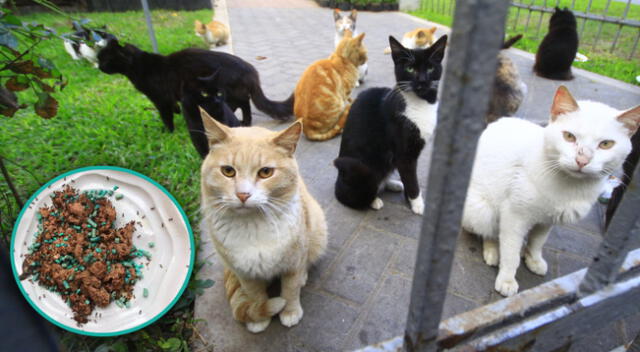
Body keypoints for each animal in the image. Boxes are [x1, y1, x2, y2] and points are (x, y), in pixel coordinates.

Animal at [96, 40, 292, 150]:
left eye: (105, 59)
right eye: (100, 59)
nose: (99, 67)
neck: (139, 67)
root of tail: (250, 70)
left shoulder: (160, 99)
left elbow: (166, 117)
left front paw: (168, 132)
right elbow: (174, 109)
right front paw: (177, 113)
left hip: (228, 94)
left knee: (239, 104)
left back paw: (243, 122)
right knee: (245, 103)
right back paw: (245, 121)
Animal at [200, 109, 328, 332]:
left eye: (266, 172)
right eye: (228, 171)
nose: (243, 195)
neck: (252, 226)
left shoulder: (293, 264)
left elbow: (290, 290)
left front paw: (290, 312)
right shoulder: (245, 274)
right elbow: (256, 296)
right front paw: (259, 319)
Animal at [332, 34, 448, 214]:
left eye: (430, 68)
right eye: (410, 69)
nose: (422, 80)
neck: (421, 103)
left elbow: (409, 177)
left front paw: (410, 199)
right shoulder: (404, 152)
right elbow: (411, 179)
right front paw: (417, 204)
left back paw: (393, 184)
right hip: (360, 168)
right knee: (353, 196)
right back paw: (374, 200)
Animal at [462, 85, 636, 296]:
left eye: (606, 144)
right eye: (569, 136)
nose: (582, 160)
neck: (570, 186)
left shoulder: (548, 220)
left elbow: (538, 241)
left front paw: (533, 259)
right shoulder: (514, 216)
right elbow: (511, 252)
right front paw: (507, 279)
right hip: (481, 209)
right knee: (490, 232)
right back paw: (493, 250)